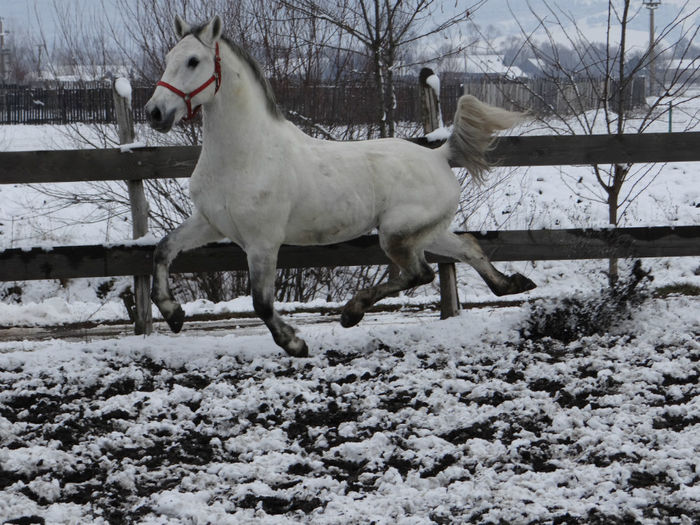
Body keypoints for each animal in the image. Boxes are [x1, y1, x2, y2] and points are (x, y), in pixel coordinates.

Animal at [145, 16, 532, 358]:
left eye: (193, 61)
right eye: (169, 58)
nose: (155, 113)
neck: (244, 154)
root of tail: (439, 156)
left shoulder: (262, 242)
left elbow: (262, 303)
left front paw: (295, 344)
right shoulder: (211, 223)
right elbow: (163, 250)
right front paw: (173, 314)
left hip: (395, 234)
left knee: (420, 273)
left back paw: (351, 312)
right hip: (425, 232)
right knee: (466, 247)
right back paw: (512, 284)